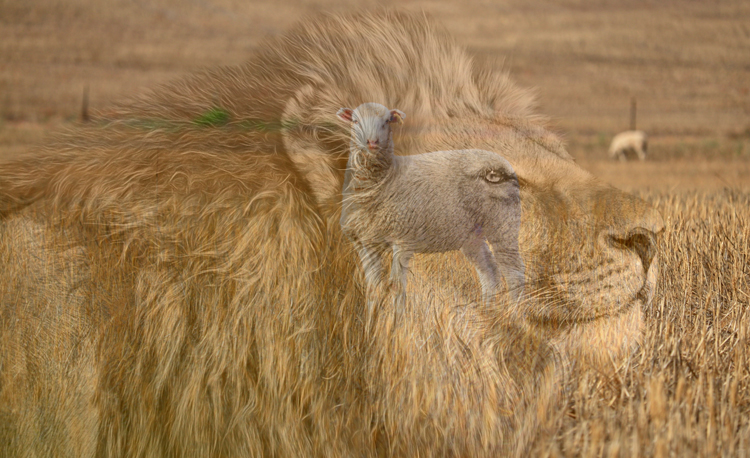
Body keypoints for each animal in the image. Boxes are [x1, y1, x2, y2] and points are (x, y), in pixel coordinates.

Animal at [338, 103, 524, 312]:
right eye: (355, 121)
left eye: (387, 121)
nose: (372, 142)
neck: (387, 178)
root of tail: (499, 163)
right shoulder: (365, 243)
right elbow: (373, 286)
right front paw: (373, 316)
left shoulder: (403, 240)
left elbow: (396, 286)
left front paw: (397, 318)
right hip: (472, 236)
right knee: (489, 271)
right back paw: (487, 312)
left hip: (504, 224)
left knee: (514, 272)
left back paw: (516, 313)